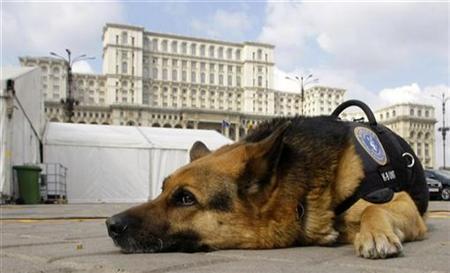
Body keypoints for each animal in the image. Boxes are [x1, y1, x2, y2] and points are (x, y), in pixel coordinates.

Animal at [106, 113, 428, 258]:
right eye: (162, 189)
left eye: (185, 198)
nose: (110, 224)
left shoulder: (401, 202)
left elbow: (373, 209)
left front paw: (374, 234)